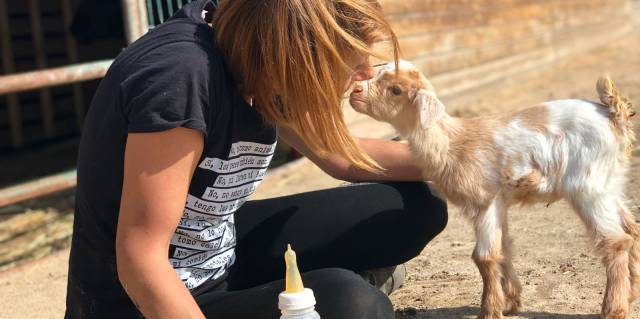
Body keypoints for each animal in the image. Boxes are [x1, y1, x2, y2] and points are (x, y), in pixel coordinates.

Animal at [350, 60, 640, 319]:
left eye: (396, 90)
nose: (355, 92)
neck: (451, 142)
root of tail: (613, 115)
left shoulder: (485, 200)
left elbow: (484, 257)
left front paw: (489, 311)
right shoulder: (499, 203)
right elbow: (504, 247)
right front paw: (511, 302)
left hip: (587, 186)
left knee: (615, 241)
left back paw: (613, 310)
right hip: (609, 183)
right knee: (631, 229)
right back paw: (631, 294)